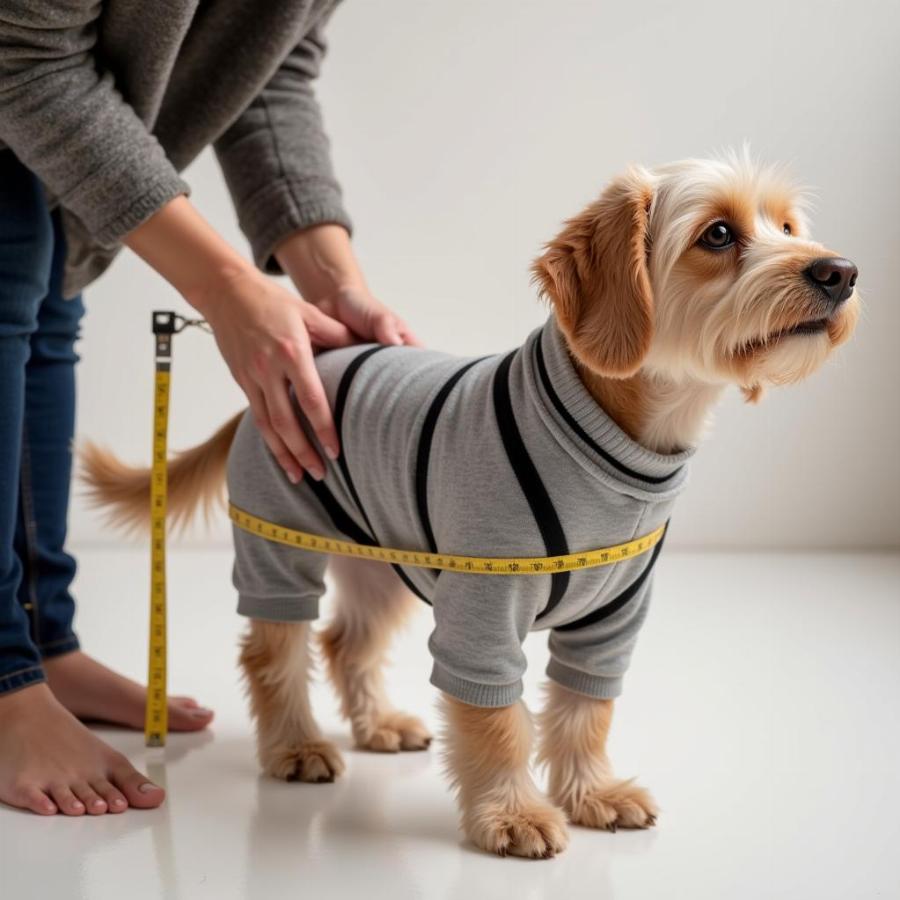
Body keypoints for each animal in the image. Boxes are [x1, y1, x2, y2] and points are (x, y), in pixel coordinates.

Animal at [84, 153, 856, 856]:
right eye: (718, 234)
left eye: (789, 226)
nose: (841, 272)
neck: (616, 443)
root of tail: (290, 375)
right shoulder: (482, 617)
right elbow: (499, 722)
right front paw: (512, 815)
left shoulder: (612, 622)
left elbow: (586, 711)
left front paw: (592, 793)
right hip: (279, 545)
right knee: (274, 650)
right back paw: (295, 746)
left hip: (382, 563)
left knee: (346, 641)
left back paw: (377, 725)